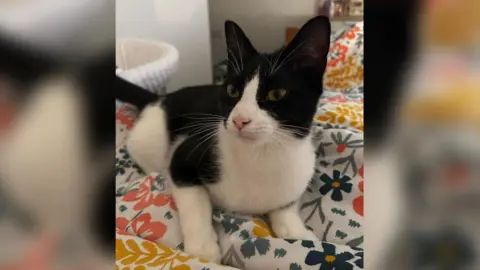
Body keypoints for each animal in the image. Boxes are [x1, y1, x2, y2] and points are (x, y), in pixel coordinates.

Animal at [118, 15, 332, 262]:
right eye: (232, 91)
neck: (262, 154)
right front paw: (203, 249)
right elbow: (194, 199)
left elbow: (286, 204)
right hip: (149, 141)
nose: (240, 119)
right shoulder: (186, 155)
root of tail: (161, 97)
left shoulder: (301, 170)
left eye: (276, 94)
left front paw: (296, 230)